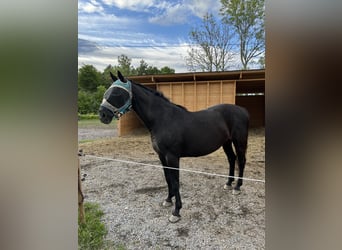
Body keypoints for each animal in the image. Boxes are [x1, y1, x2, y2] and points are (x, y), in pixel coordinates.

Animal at [98, 71, 248, 223]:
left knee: (241, 161)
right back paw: (228, 183)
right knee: (232, 159)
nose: (102, 115)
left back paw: (237, 187)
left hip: (239, 142)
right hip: (226, 142)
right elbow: (168, 178)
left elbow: (175, 182)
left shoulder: (172, 157)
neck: (162, 119)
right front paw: (168, 200)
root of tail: (242, 111)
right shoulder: (162, 156)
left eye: (117, 93)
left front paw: (176, 212)